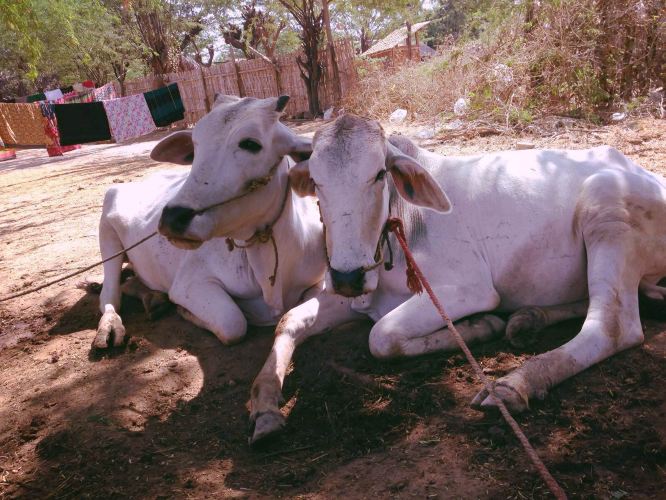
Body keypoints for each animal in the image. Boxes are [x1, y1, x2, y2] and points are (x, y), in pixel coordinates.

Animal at [94, 94, 326, 352]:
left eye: (251, 144)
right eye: (196, 147)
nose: (172, 218)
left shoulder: (319, 281)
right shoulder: (189, 284)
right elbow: (233, 323)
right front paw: (184, 311)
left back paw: (153, 299)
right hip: (108, 235)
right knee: (110, 296)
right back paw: (111, 325)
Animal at [248, 112, 664, 442]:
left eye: (379, 174)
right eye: (316, 182)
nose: (348, 275)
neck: (399, 227)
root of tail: (641, 170)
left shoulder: (469, 289)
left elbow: (381, 336)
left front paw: (481, 327)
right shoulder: (352, 296)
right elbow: (289, 320)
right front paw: (265, 405)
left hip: (606, 206)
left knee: (613, 326)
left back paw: (515, 384)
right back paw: (528, 319)